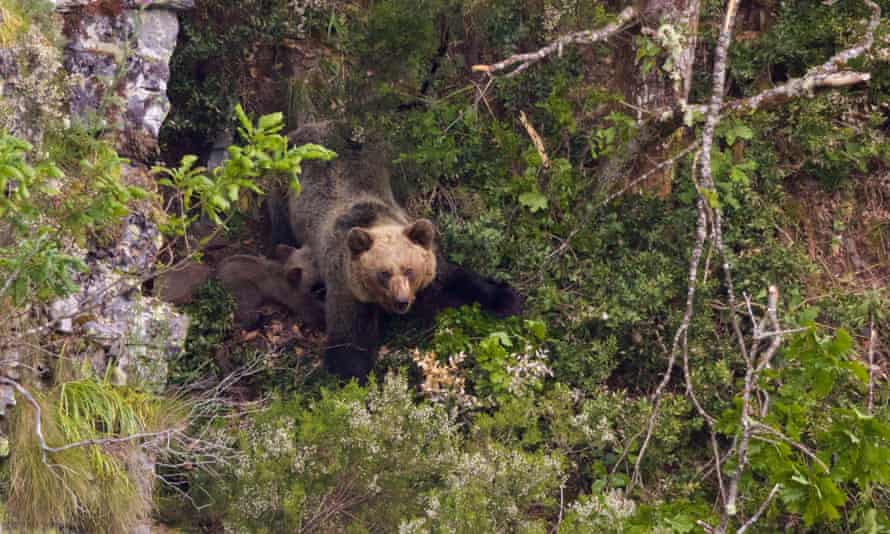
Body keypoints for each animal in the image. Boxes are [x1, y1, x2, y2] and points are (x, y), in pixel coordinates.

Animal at [285, 124, 521, 379]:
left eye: (409, 270)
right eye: (383, 273)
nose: (401, 301)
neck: (376, 223)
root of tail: (314, 125)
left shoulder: (431, 271)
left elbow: (461, 284)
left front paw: (506, 298)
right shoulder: (348, 286)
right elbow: (349, 343)